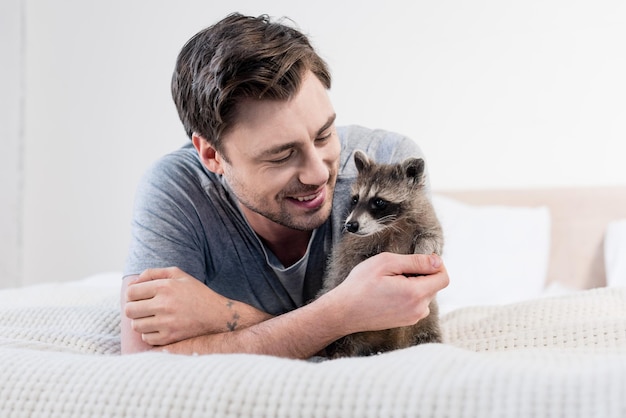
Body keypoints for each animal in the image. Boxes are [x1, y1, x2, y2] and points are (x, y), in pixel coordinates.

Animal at [320, 149, 442, 358]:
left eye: (378, 201)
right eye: (355, 199)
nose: (350, 225)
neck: (392, 224)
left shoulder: (426, 217)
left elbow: (434, 239)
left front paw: (424, 249)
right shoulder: (357, 243)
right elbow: (348, 262)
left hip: (427, 319)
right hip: (346, 329)